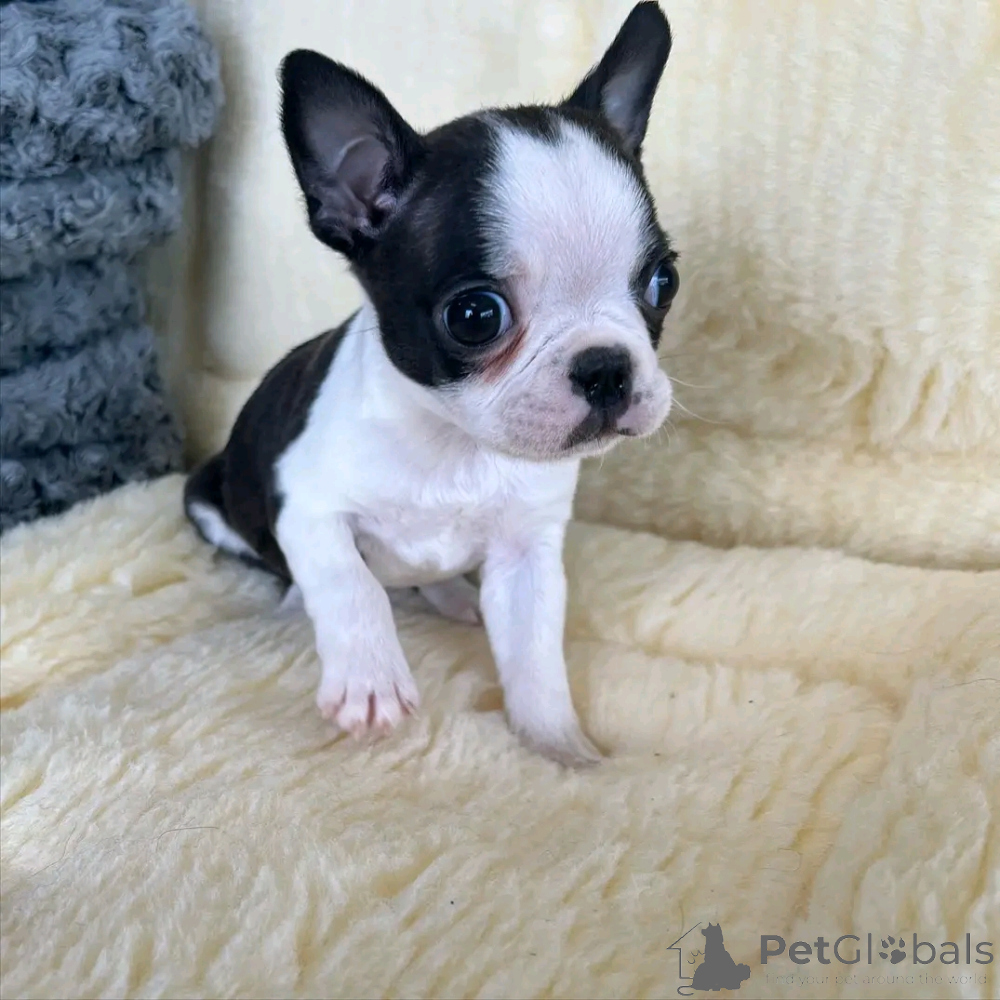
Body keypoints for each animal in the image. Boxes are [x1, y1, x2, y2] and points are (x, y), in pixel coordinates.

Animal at [184, 2, 679, 766]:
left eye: (663, 283)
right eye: (475, 315)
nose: (605, 368)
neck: (454, 445)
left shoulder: (527, 556)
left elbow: (536, 662)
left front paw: (562, 751)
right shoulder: (307, 504)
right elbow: (351, 584)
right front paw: (370, 680)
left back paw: (450, 597)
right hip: (209, 498)